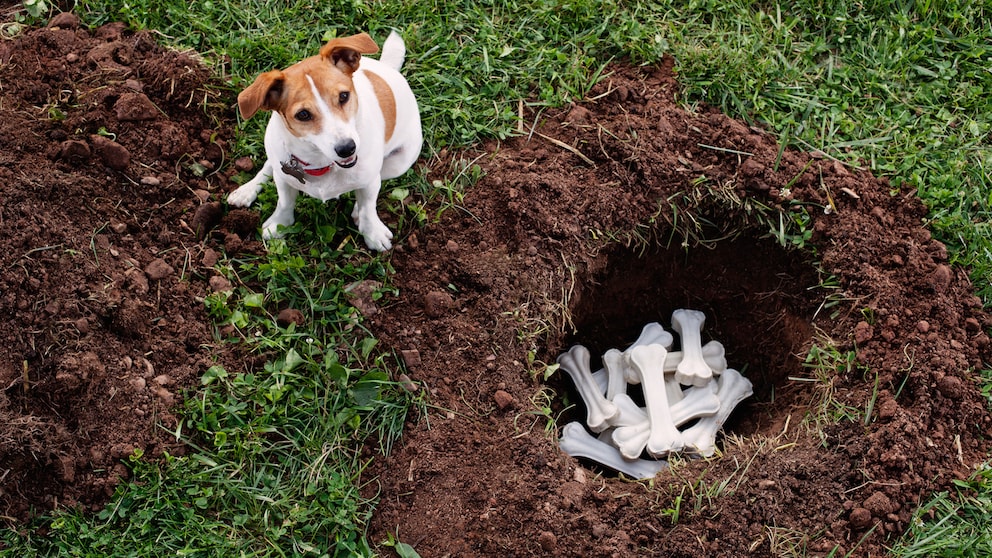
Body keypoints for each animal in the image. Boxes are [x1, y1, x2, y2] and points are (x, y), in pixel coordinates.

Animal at [227, 32, 420, 252]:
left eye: (344, 96)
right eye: (303, 114)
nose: (347, 148)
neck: (322, 163)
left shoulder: (370, 179)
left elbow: (368, 207)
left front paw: (372, 232)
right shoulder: (284, 175)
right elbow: (284, 202)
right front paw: (279, 223)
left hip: (400, 162)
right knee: (269, 166)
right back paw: (246, 190)